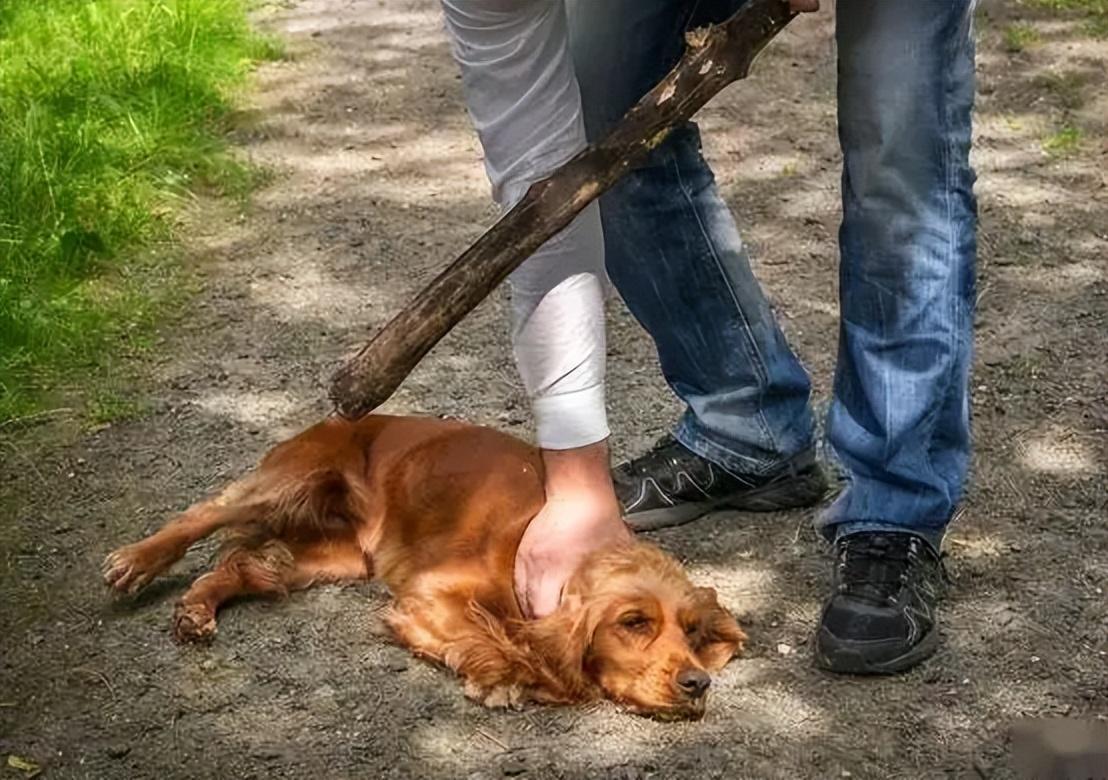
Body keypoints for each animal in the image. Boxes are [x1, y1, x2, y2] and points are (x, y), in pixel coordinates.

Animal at [105, 414, 744, 717]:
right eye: (633, 623)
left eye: (692, 632)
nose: (698, 683)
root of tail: (341, 416)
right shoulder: (430, 593)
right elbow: (495, 639)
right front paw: (507, 677)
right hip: (291, 479)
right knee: (202, 514)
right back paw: (134, 561)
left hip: (337, 556)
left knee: (246, 565)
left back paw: (195, 608)